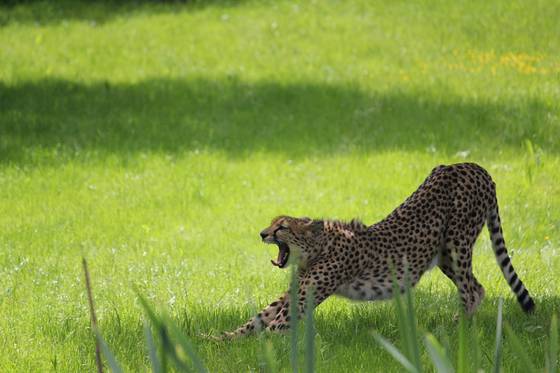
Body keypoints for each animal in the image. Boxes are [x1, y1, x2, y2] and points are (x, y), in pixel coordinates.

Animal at [219, 163, 532, 338]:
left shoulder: (302, 299)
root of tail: (474, 165)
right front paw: (221, 338)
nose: (262, 234)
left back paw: (459, 330)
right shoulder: (295, 291)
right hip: (445, 255)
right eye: (271, 223)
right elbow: (259, 318)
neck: (319, 247)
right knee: (476, 287)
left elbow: (273, 328)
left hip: (457, 245)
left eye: (281, 227)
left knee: (471, 289)